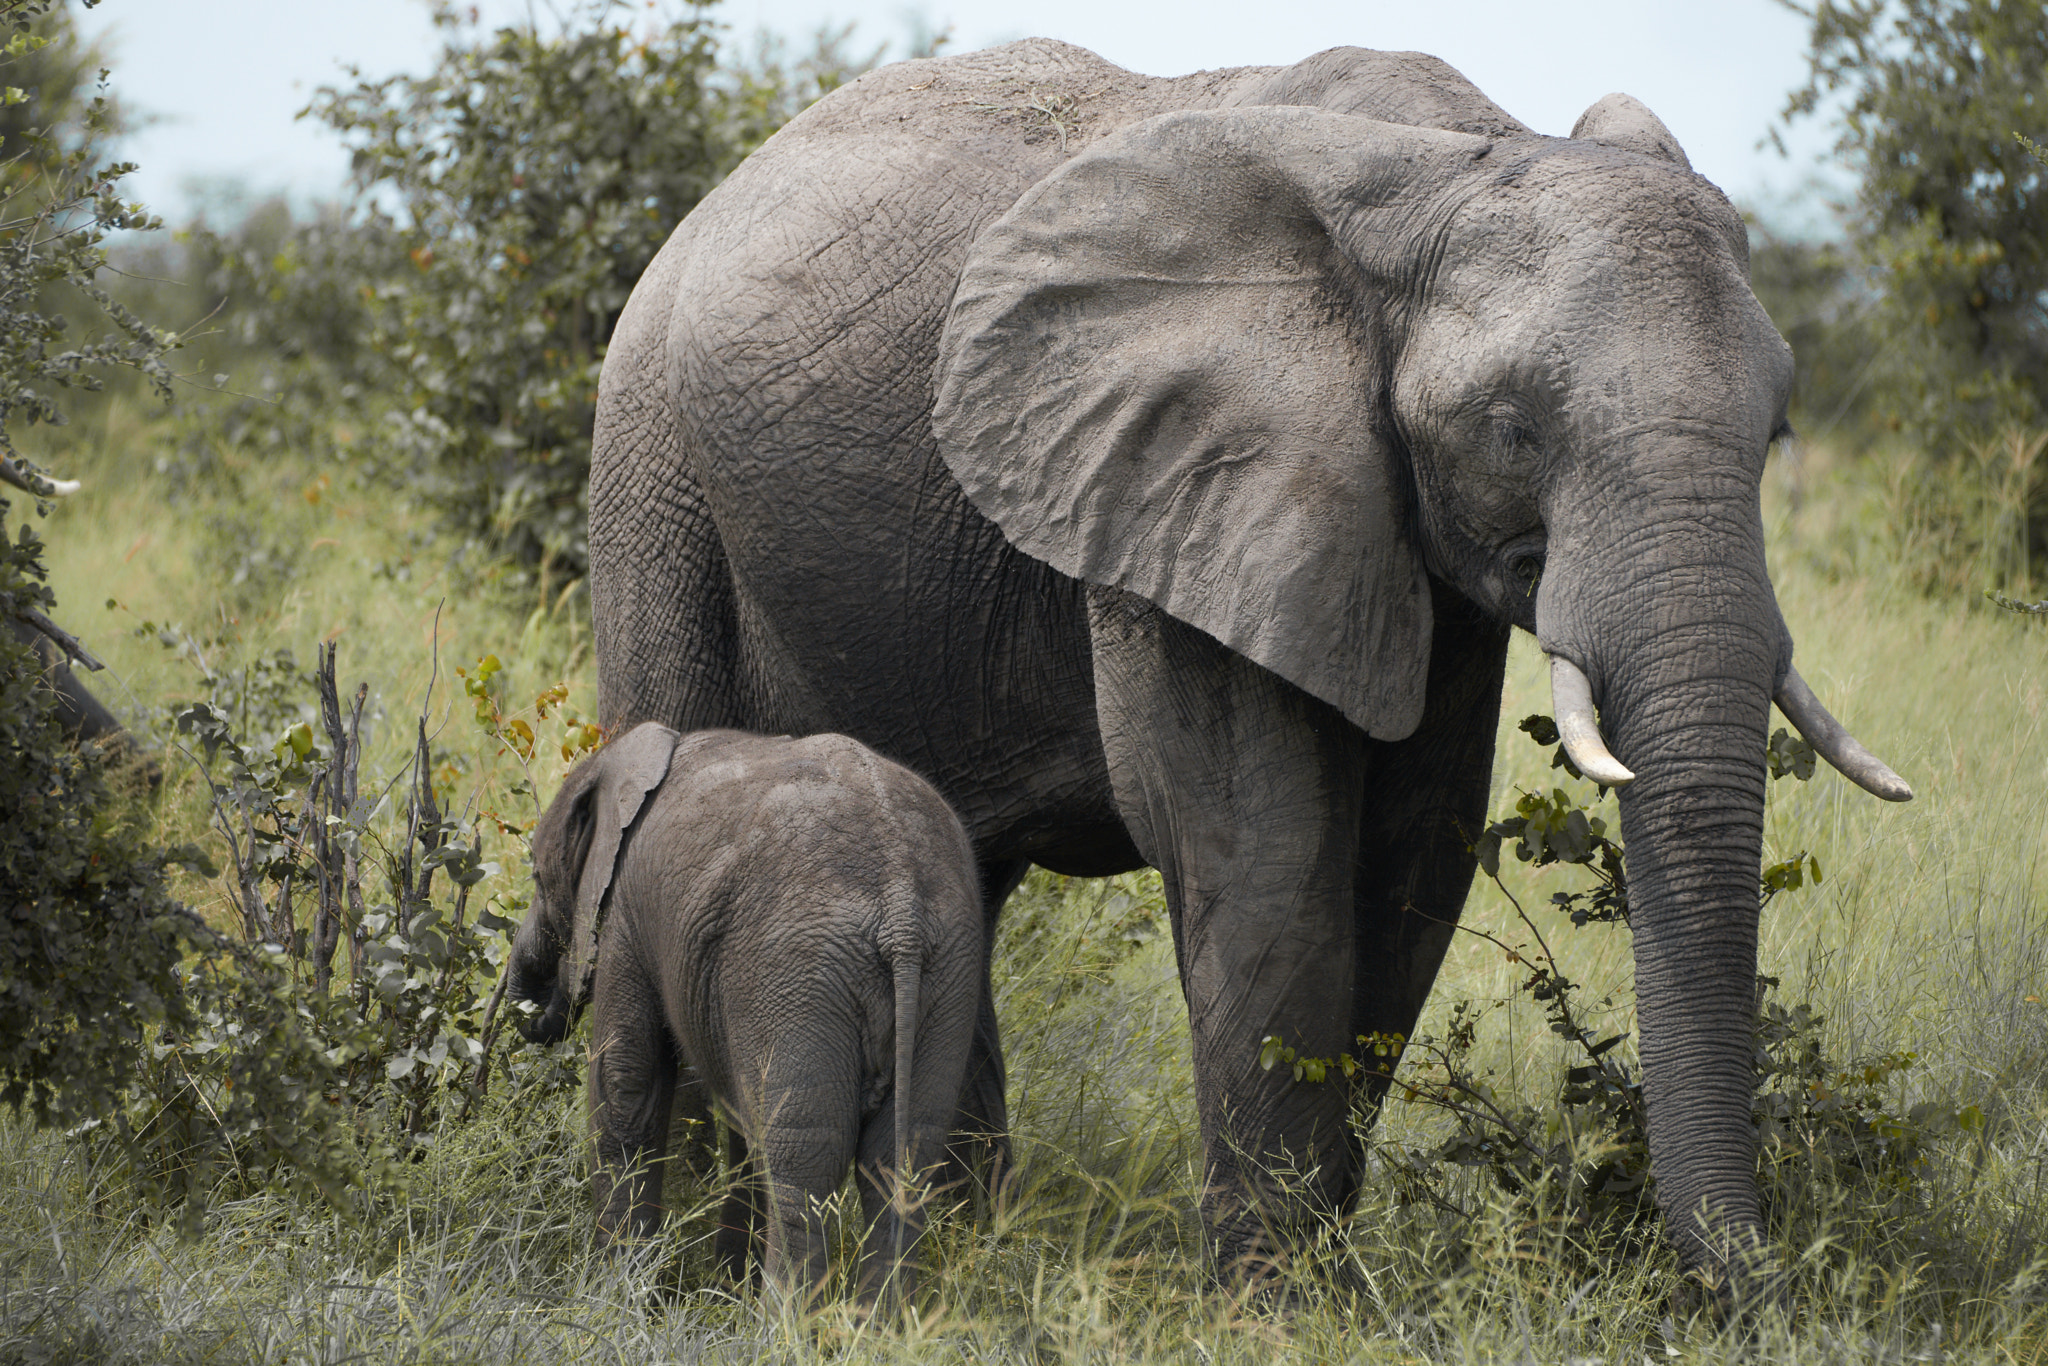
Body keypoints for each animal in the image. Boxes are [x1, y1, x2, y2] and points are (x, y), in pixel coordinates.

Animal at [516, 720, 987, 1310]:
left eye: (536, 877)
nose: (532, 1011)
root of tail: (901, 908)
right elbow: (743, 1119)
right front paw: (721, 1291)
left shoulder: (626, 911)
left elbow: (626, 1084)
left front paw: (618, 1299)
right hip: (946, 973)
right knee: (900, 1158)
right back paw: (882, 1324)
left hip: (797, 968)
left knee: (802, 1163)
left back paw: (784, 1323)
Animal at [585, 40, 1908, 1294]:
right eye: (1510, 428)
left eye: (1778, 430)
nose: (1771, 1291)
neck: (1449, 159)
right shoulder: (1172, 486)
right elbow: (1266, 860)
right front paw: (1268, 1311)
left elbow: (1408, 861)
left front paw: (1320, 1291)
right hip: (652, 470)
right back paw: (706, 1271)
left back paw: (960, 1267)